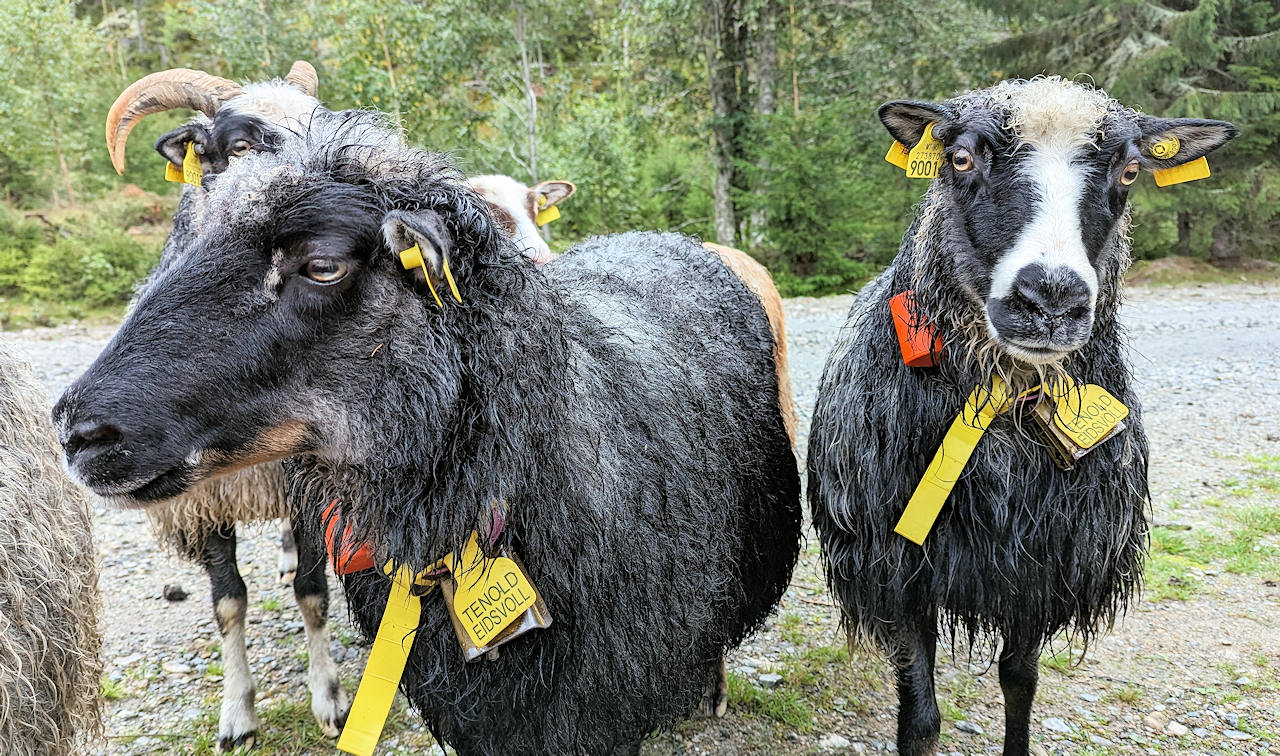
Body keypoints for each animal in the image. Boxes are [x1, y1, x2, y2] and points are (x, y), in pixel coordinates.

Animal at [803, 78, 1233, 756]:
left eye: (1130, 171)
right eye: (960, 158)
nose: (1050, 300)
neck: (1003, 403)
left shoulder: (1041, 568)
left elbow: (1020, 683)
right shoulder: (900, 573)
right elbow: (920, 717)